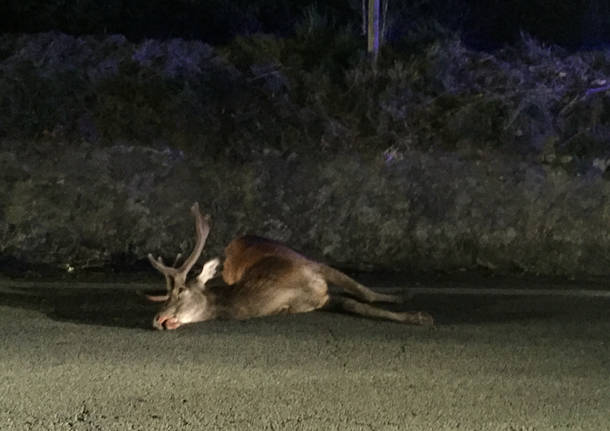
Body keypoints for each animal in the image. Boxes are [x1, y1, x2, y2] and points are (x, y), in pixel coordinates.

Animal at [147, 203, 432, 330]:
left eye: (181, 291)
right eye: (167, 294)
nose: (157, 319)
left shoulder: (314, 269)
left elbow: (364, 296)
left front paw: (417, 315)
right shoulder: (317, 300)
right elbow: (355, 305)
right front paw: (416, 315)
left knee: (365, 291)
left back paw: (403, 293)